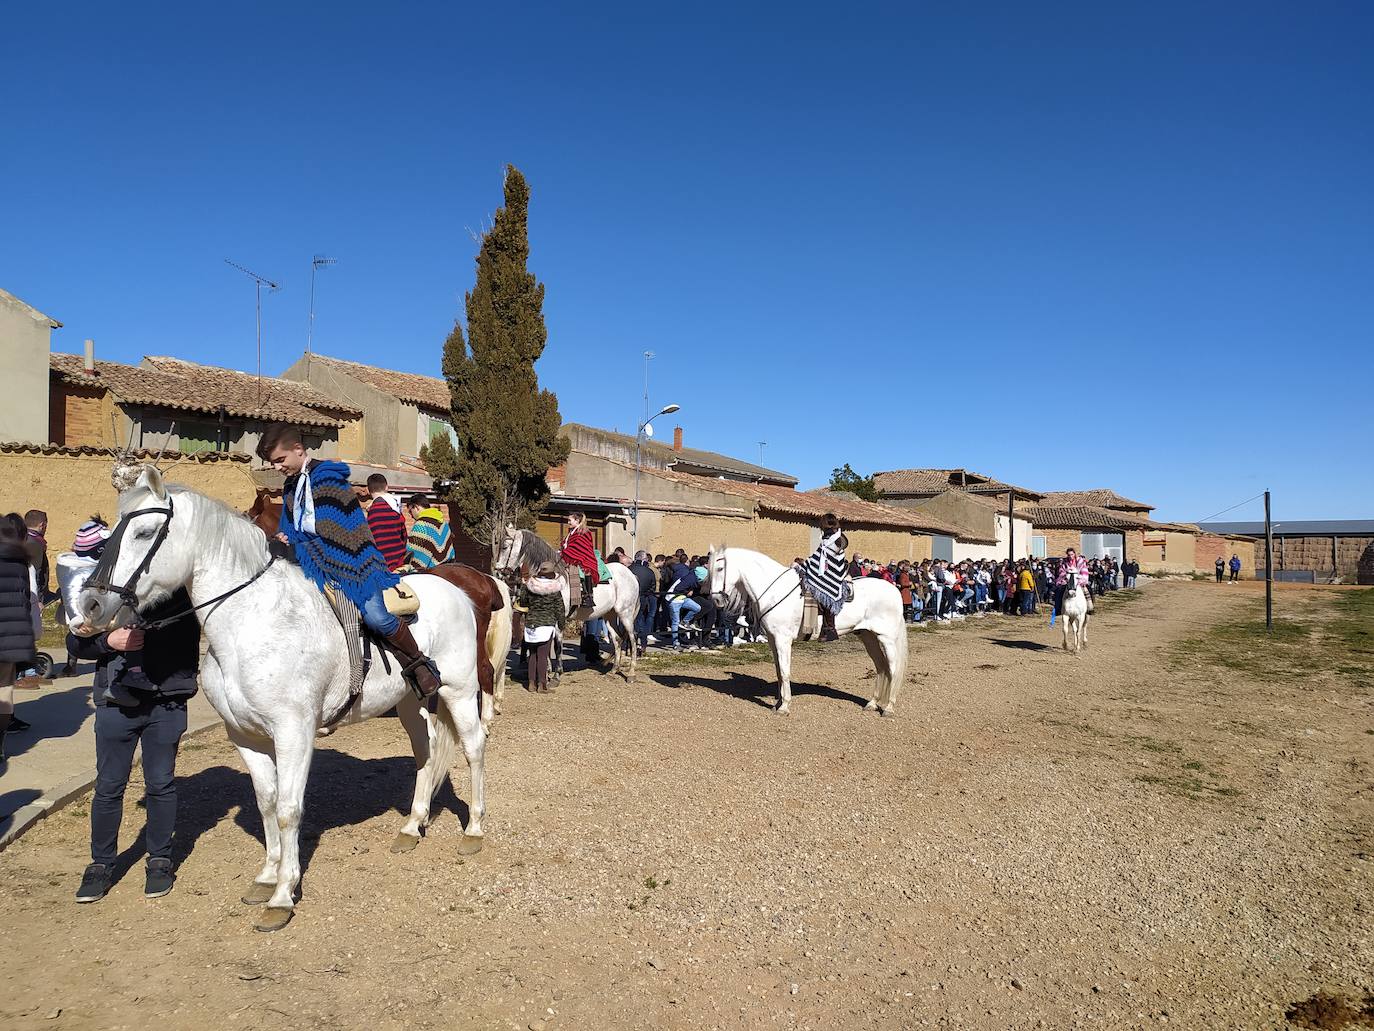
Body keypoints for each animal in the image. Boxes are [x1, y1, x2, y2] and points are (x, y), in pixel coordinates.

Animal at [76, 467, 489, 934]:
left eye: (145, 532)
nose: (90, 604)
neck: (253, 622)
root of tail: (457, 588)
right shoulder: (245, 736)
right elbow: (267, 804)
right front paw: (267, 877)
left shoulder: (294, 732)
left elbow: (290, 809)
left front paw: (283, 896)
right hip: (408, 702)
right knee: (427, 753)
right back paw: (412, 825)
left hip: (459, 691)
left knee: (473, 747)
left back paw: (474, 830)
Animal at [497, 527, 640, 681]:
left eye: (505, 547)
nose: (498, 571)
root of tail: (631, 574)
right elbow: (545, 643)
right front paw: (546, 671)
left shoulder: (558, 619)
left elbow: (557, 645)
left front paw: (556, 673)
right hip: (610, 615)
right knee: (617, 638)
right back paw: (613, 670)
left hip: (625, 613)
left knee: (632, 637)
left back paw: (631, 672)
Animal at [708, 549, 912, 720]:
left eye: (720, 568)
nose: (716, 599)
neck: (775, 590)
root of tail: (893, 589)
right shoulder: (773, 640)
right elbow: (779, 672)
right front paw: (778, 703)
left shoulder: (783, 640)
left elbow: (785, 671)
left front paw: (785, 706)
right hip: (867, 636)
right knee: (881, 667)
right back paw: (872, 704)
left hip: (886, 638)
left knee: (892, 669)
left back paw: (888, 708)